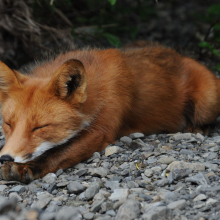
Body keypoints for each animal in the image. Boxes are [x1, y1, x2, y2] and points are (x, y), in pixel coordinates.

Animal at [0, 44, 219, 182]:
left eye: (40, 127)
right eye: (8, 124)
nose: (5, 158)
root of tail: (182, 55)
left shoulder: (101, 130)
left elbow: (56, 153)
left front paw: (26, 167)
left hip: (206, 104)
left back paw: (195, 128)